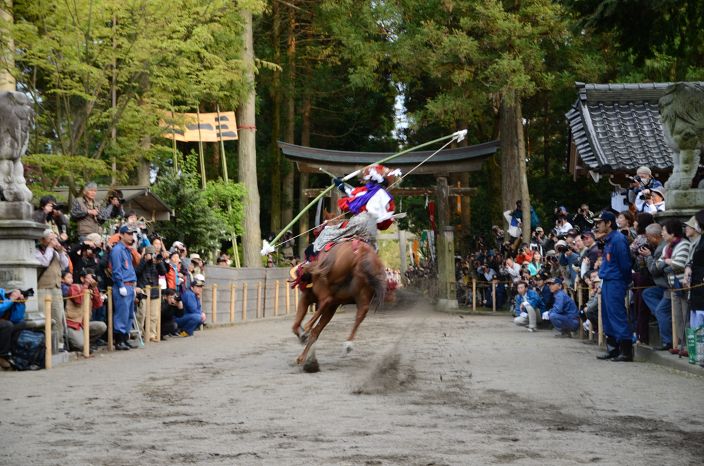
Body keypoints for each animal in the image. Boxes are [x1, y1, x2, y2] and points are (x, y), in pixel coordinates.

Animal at [294, 240, 388, 368]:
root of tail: (362, 251)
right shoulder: (333, 306)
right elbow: (315, 331)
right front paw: (302, 357)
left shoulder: (307, 297)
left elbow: (296, 325)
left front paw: (303, 337)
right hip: (362, 292)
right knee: (361, 312)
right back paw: (348, 345)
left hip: (323, 280)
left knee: (326, 299)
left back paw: (307, 327)